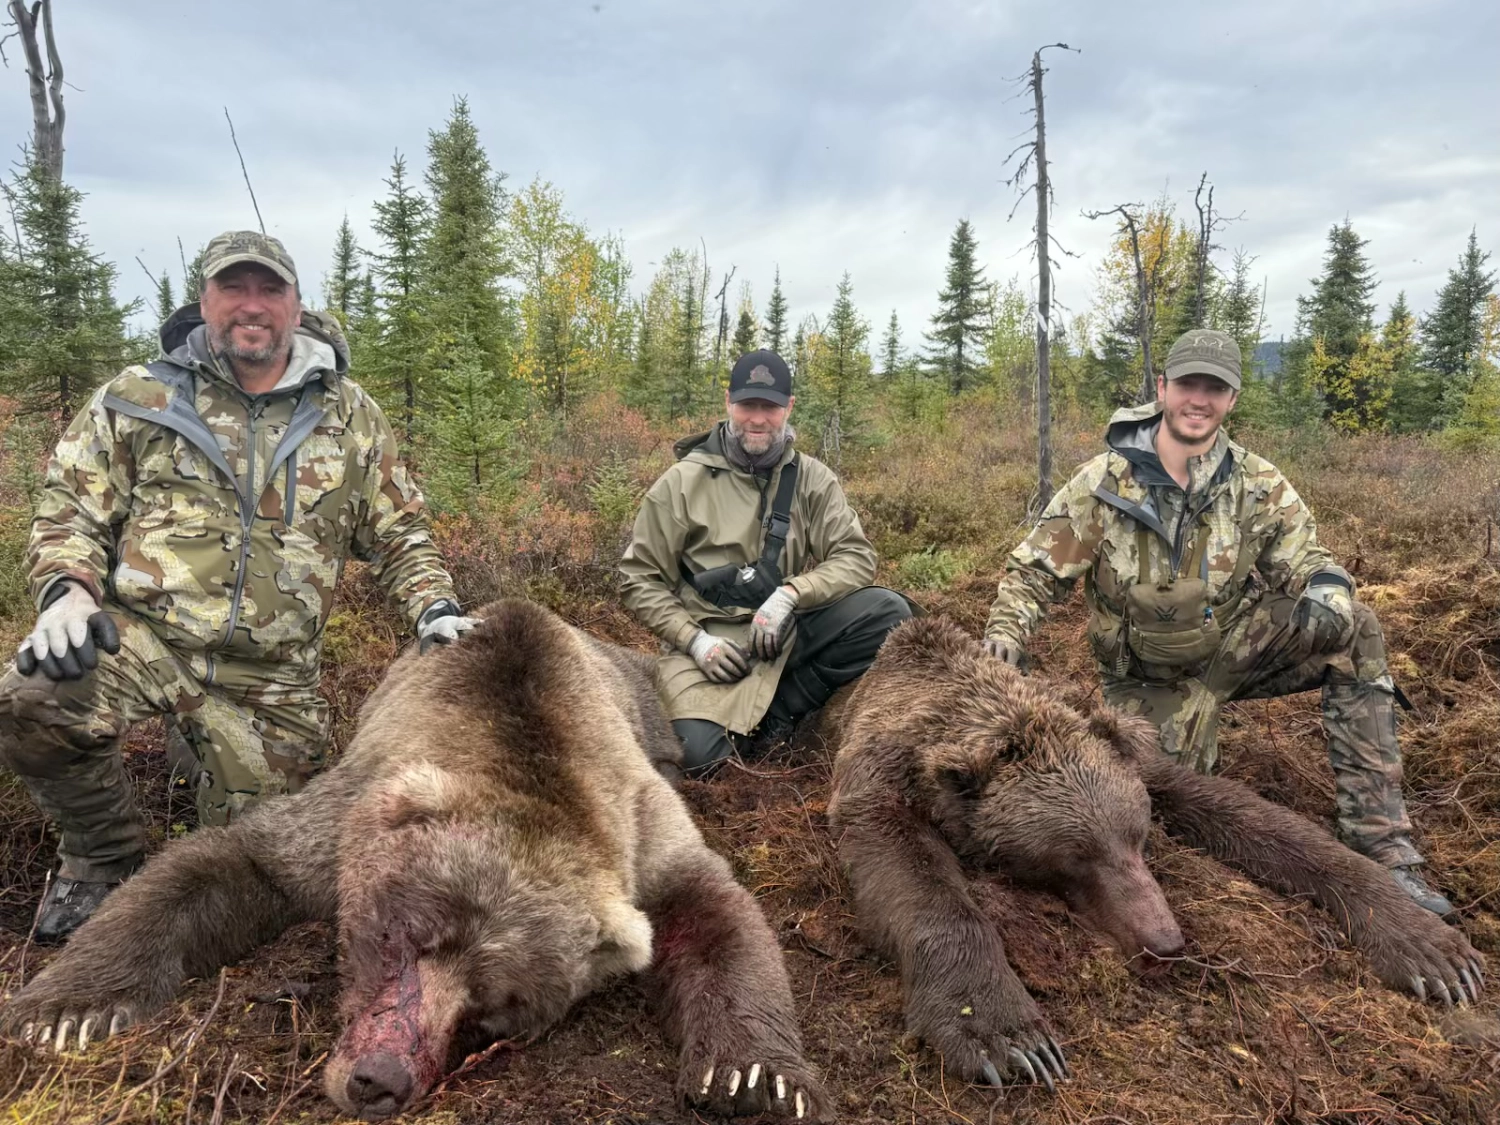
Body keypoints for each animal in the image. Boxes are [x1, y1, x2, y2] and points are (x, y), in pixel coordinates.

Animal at [2, 600, 828, 1122]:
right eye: (403, 933)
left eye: (496, 1009)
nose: (380, 1080)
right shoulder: (346, 815)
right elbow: (225, 863)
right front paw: (62, 1010)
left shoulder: (637, 821)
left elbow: (711, 907)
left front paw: (755, 1074)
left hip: (652, 713)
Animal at [824, 616, 1485, 1091]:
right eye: (1072, 859)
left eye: (1138, 838)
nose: (1164, 944)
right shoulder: (882, 782)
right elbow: (916, 880)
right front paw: (1008, 1038)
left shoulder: (1134, 759)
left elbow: (1254, 818)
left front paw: (1433, 948)